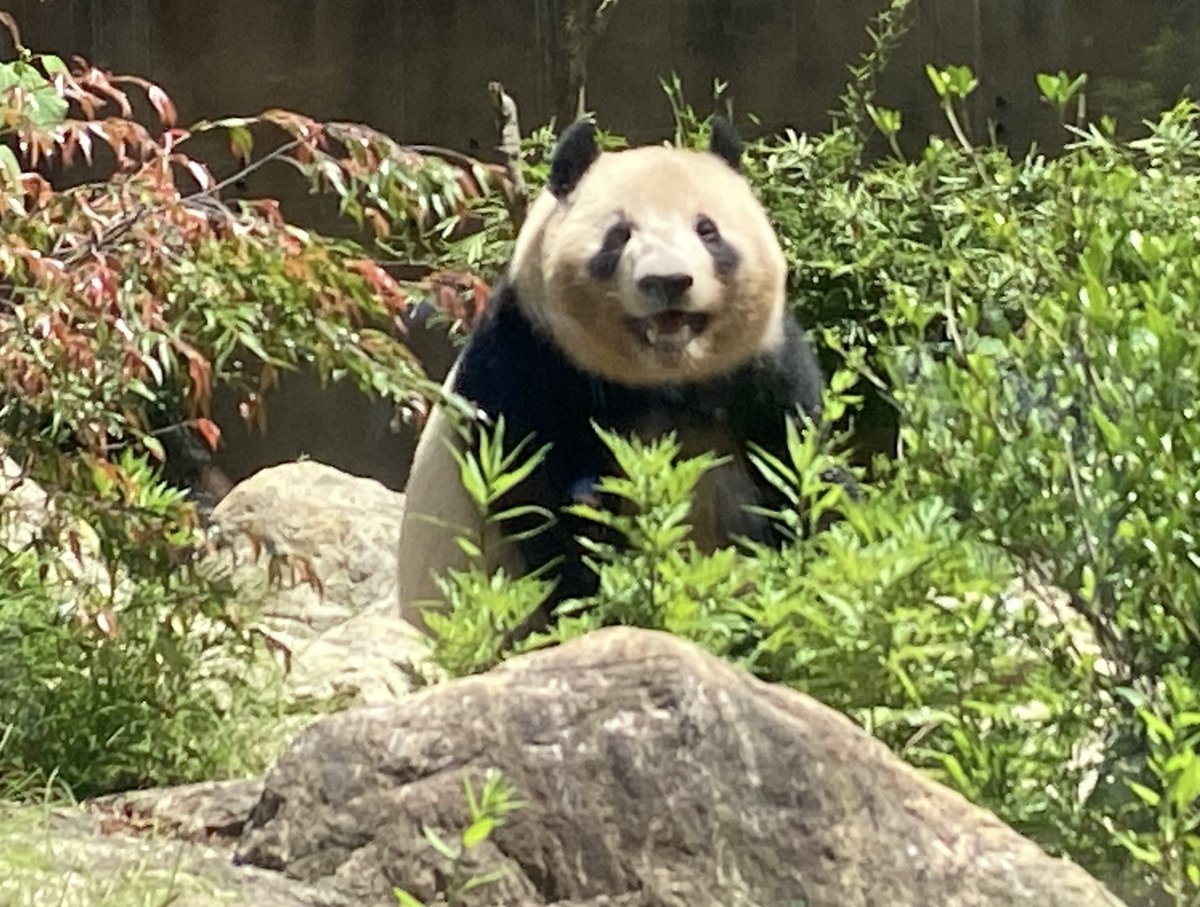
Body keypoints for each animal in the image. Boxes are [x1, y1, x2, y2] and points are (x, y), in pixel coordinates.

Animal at [400, 118, 835, 638]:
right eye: (619, 234)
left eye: (707, 230)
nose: (668, 281)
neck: (663, 374)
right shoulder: (528, 361)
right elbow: (540, 503)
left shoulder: (760, 365)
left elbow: (798, 465)